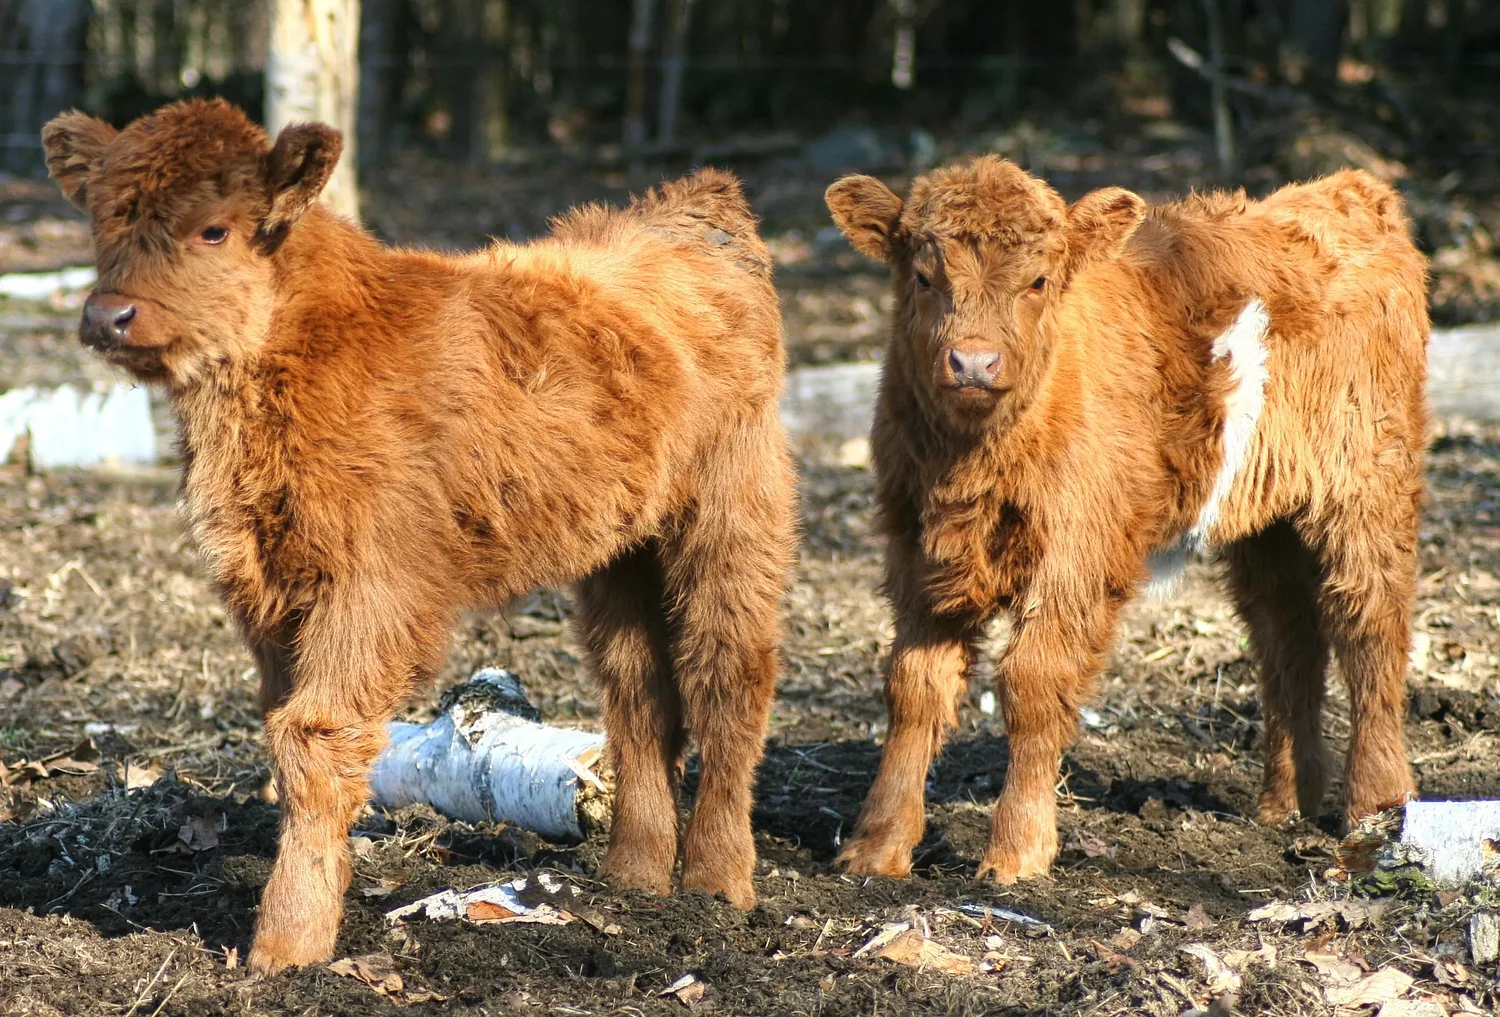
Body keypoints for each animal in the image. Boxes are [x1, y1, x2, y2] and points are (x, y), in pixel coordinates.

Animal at [41, 99, 796, 972]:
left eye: (214, 229)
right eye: (103, 218)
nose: (108, 315)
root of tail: (693, 208)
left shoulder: (371, 588)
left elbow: (316, 736)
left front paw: (287, 944)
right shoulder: (270, 591)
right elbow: (285, 733)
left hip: (733, 516)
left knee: (728, 676)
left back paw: (717, 883)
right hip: (621, 551)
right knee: (639, 688)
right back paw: (635, 877)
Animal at [824, 155, 1427, 885]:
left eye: (1038, 280)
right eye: (922, 276)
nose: (973, 362)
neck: (971, 461)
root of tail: (1350, 191)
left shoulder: (1075, 554)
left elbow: (1033, 682)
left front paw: (1017, 852)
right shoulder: (916, 548)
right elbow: (914, 687)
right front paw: (876, 846)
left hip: (1367, 486)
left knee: (1369, 625)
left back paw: (1377, 808)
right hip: (1267, 521)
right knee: (1287, 631)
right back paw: (1284, 803)